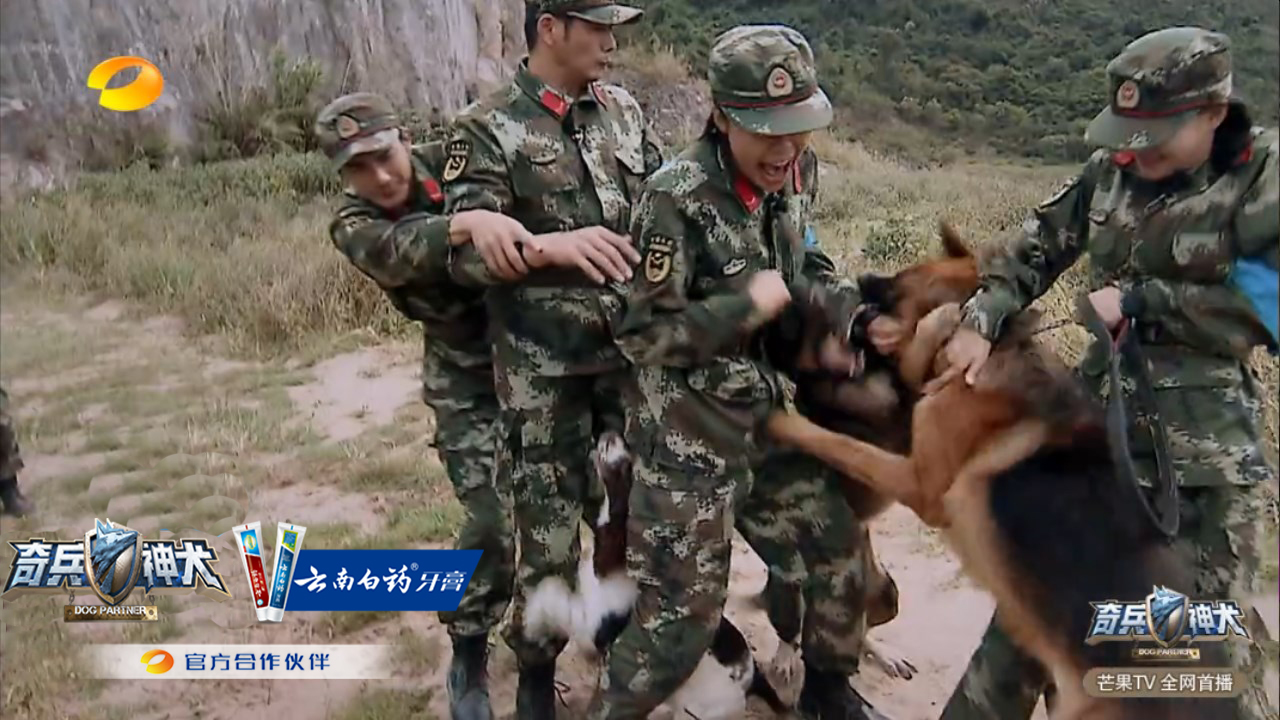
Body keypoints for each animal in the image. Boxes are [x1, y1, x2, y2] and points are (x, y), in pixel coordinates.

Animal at [762, 225, 1223, 717]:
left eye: (900, 285)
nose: (858, 283)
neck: (997, 352)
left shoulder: (919, 482)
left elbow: (843, 443)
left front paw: (780, 421)